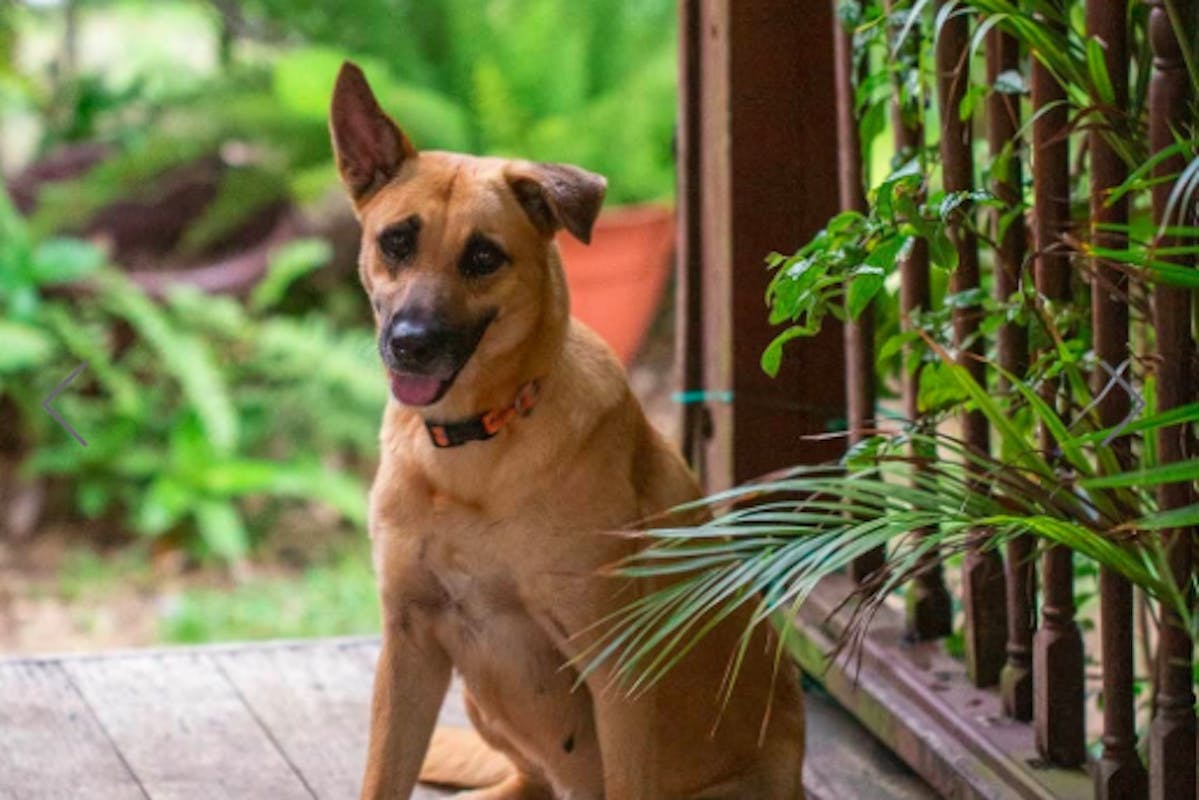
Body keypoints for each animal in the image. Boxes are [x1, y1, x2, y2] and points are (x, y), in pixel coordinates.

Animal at [330, 64, 805, 800]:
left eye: (483, 257)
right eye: (396, 241)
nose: (409, 345)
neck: (477, 446)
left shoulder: (619, 672)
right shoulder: (408, 647)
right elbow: (382, 777)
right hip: (479, 697)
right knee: (528, 779)